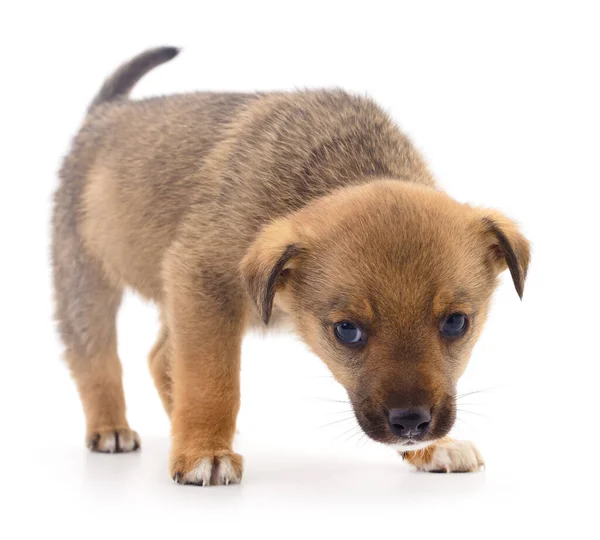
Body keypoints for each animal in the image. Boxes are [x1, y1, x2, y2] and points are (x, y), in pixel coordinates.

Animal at [52, 47, 528, 486]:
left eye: (456, 323)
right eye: (347, 330)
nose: (411, 423)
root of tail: (106, 111)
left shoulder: (195, 297)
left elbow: (192, 370)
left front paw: (434, 448)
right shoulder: (202, 284)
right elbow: (211, 379)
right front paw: (205, 452)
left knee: (160, 357)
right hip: (84, 279)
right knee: (96, 357)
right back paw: (112, 428)